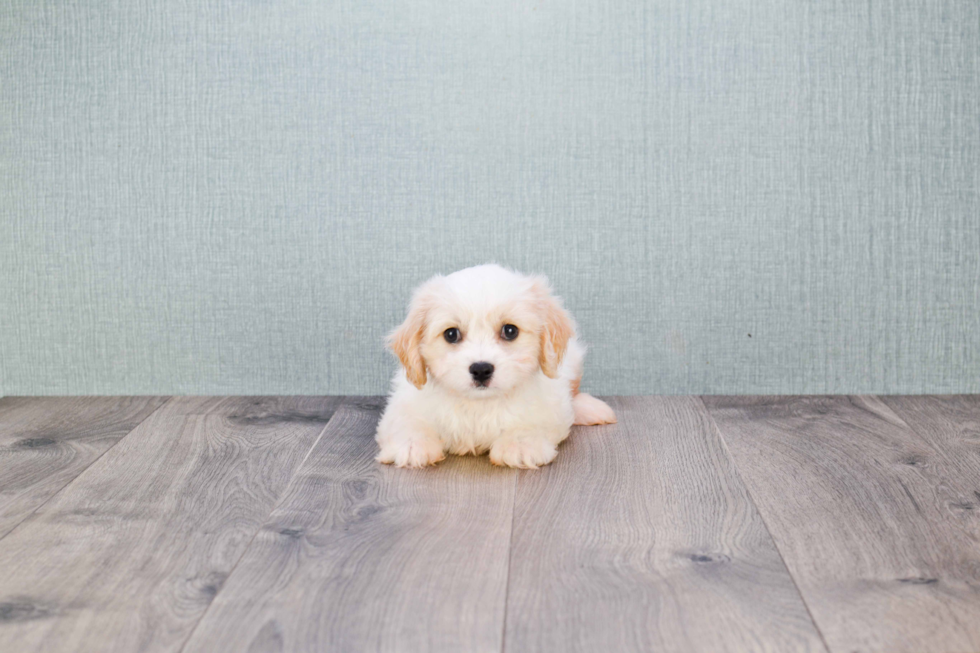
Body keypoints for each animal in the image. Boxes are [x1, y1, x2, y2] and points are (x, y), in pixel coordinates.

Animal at [378, 264, 616, 468]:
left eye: (510, 331)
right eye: (451, 334)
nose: (481, 369)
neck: (479, 404)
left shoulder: (550, 405)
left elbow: (533, 420)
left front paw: (520, 444)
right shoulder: (404, 403)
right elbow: (407, 421)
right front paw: (412, 445)